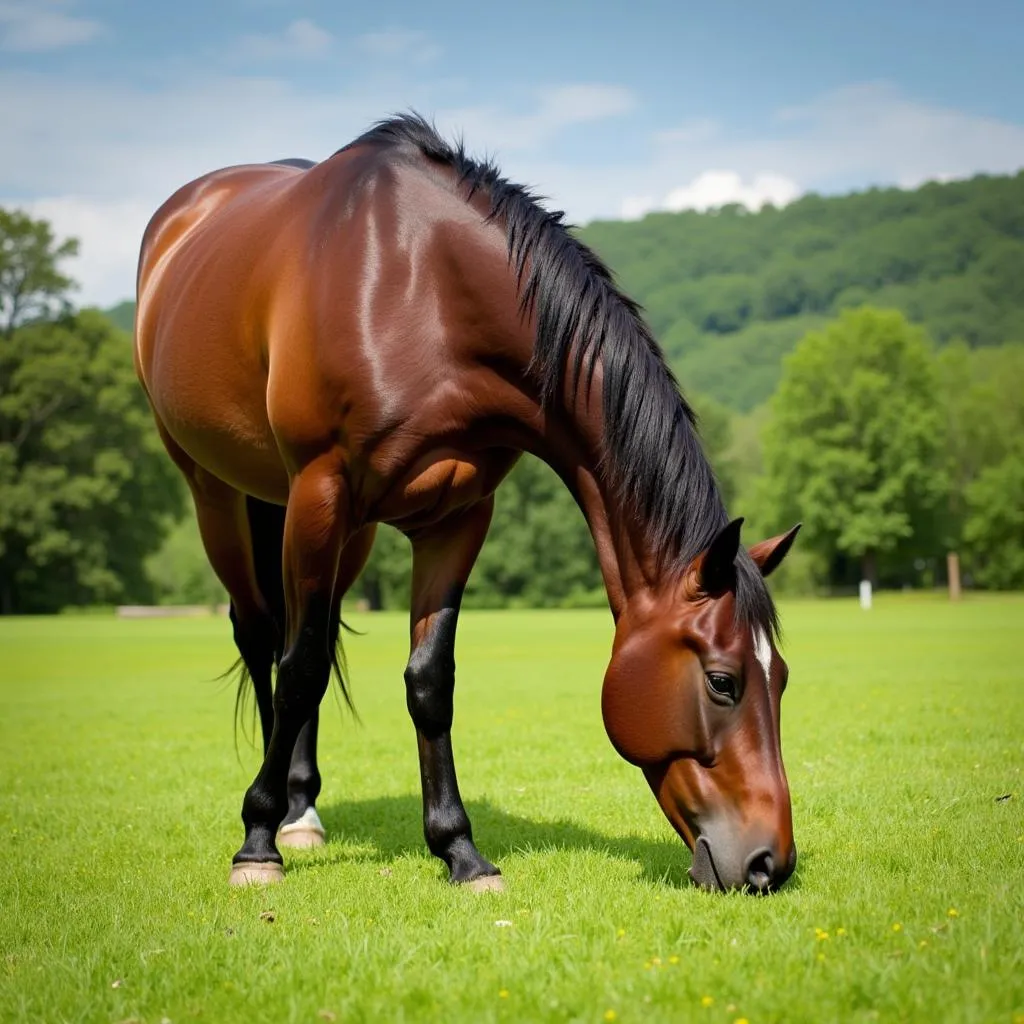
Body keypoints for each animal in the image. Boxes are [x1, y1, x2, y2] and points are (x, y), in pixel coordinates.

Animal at [132, 112, 798, 892]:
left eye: (781, 679)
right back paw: (279, 820)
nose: (770, 863)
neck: (422, 290)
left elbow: (428, 680)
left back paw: (303, 809)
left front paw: (459, 849)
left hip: (330, 526)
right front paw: (256, 843)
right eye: (723, 682)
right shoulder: (323, 489)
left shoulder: (455, 516)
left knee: (310, 632)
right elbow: (298, 671)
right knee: (269, 639)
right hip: (226, 495)